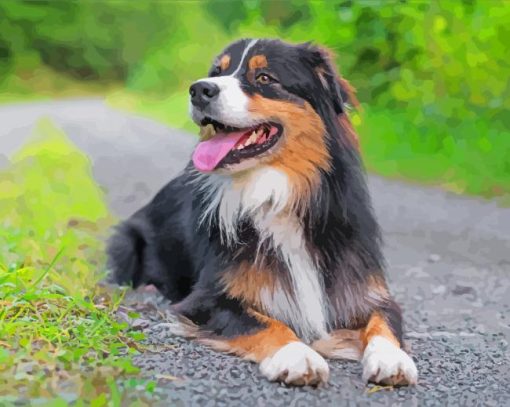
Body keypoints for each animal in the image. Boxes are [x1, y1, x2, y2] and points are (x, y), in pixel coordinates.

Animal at [108, 39, 418, 388]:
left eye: (265, 77)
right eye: (216, 72)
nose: (199, 89)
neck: (278, 194)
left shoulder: (366, 290)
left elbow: (384, 321)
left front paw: (392, 358)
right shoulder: (206, 298)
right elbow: (265, 322)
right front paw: (297, 356)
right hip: (125, 241)